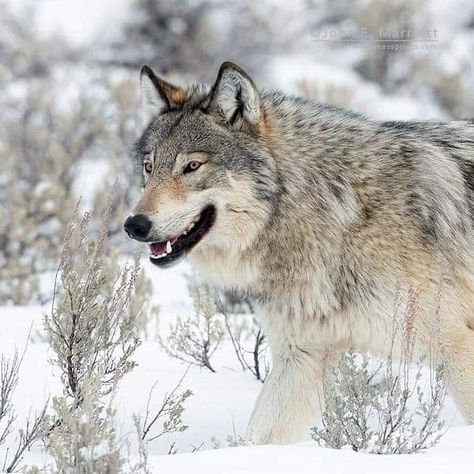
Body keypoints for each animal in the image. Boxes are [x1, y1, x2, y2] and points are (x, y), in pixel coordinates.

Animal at [125, 61, 474, 442]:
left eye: (192, 167)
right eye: (149, 168)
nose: (134, 225)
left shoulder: (456, 347)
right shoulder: (302, 358)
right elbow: (259, 439)